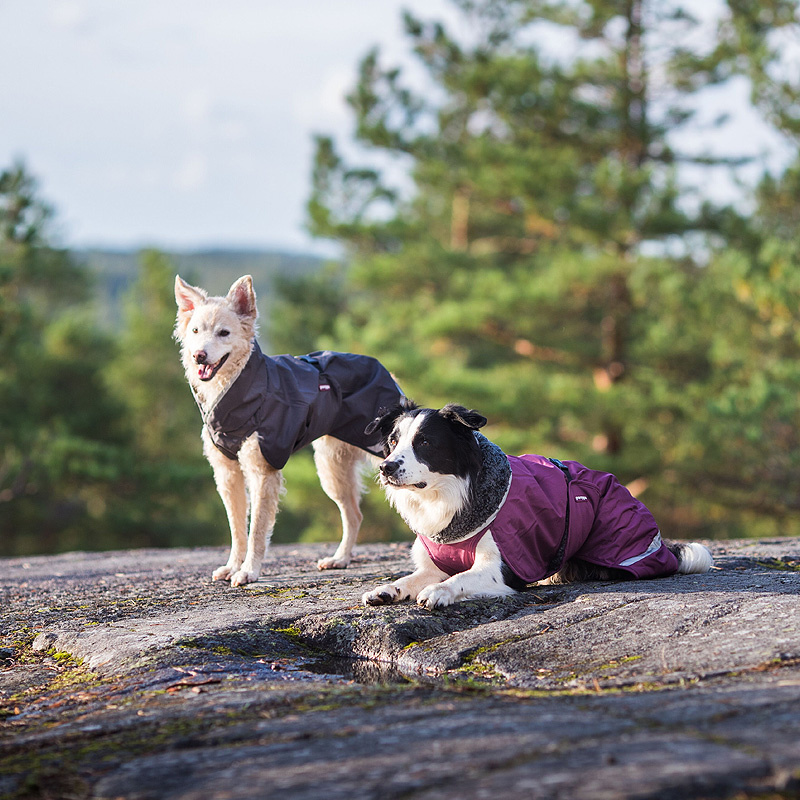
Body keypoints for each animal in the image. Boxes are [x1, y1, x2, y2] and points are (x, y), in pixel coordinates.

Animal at [173, 278, 404, 584]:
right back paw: (340, 559)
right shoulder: (227, 472)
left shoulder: (263, 470)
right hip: (332, 469)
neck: (240, 386)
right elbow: (237, 528)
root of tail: (385, 370)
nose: (199, 355)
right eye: (195, 331)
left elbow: (257, 529)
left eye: (224, 333)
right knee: (354, 515)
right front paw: (233, 566)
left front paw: (249, 571)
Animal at [362, 400, 712, 612]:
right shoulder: (434, 564)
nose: (386, 468)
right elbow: (412, 577)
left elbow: (460, 579)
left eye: (424, 442)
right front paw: (389, 588)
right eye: (393, 441)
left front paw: (440, 591)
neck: (447, 494)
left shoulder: (503, 567)